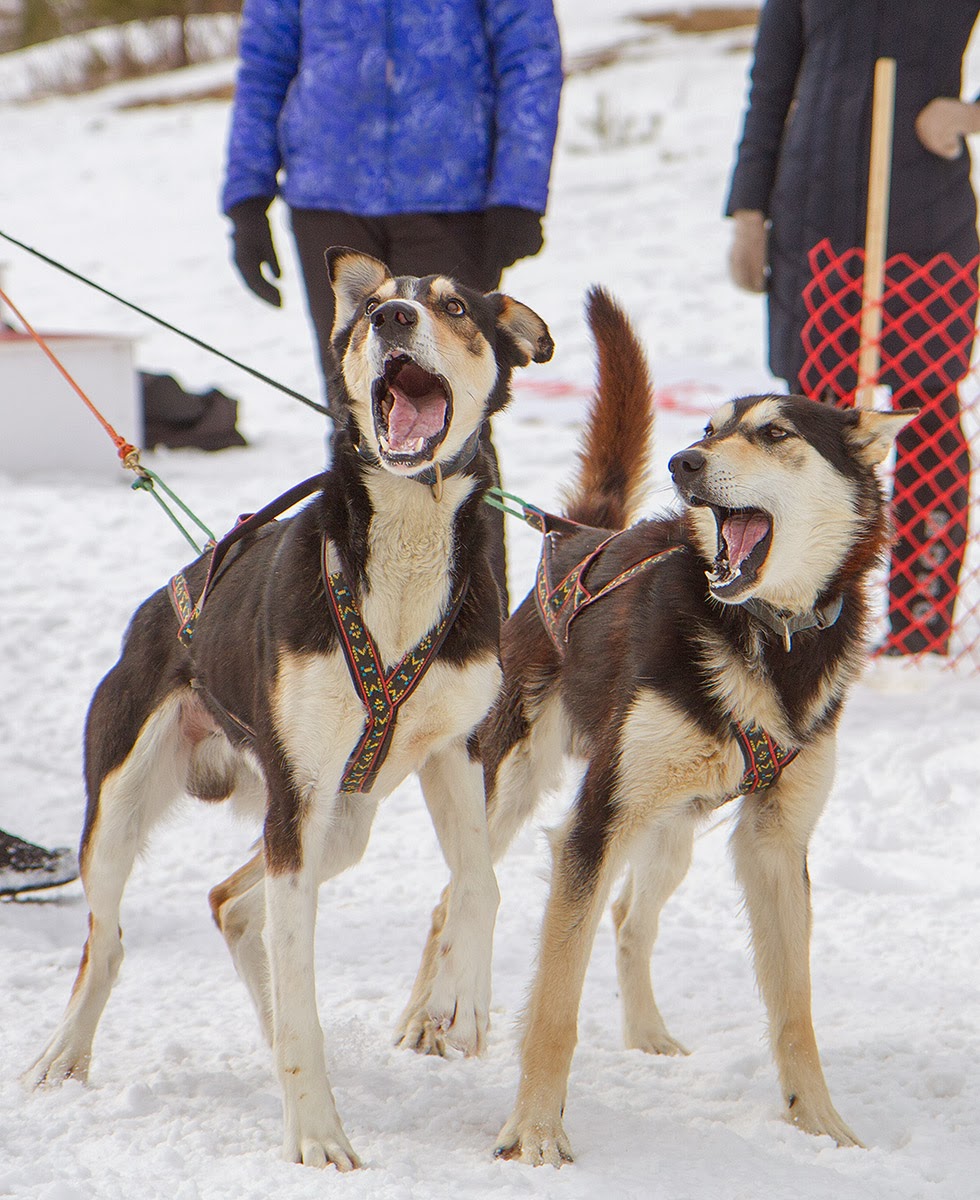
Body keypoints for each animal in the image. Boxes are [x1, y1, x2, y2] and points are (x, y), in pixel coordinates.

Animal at [26, 248, 554, 1166]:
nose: (393, 319)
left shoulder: (453, 751)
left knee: (229, 904)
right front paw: (316, 1133)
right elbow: (302, 982)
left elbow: (478, 882)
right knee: (109, 939)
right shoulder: (300, 801)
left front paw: (461, 1004)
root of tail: (160, 606)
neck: (404, 558)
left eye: (452, 305)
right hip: (141, 807)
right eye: (376, 307)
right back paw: (65, 1052)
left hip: (340, 822)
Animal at [400, 288, 911, 1161]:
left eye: (774, 433)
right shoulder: (594, 827)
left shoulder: (775, 845)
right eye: (708, 427)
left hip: (671, 827)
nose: (684, 462)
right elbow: (555, 1005)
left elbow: (795, 1011)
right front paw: (535, 1132)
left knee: (629, 917)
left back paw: (647, 1033)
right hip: (515, 790)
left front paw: (821, 1125)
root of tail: (580, 535)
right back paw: (422, 1022)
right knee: (452, 899)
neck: (763, 637)